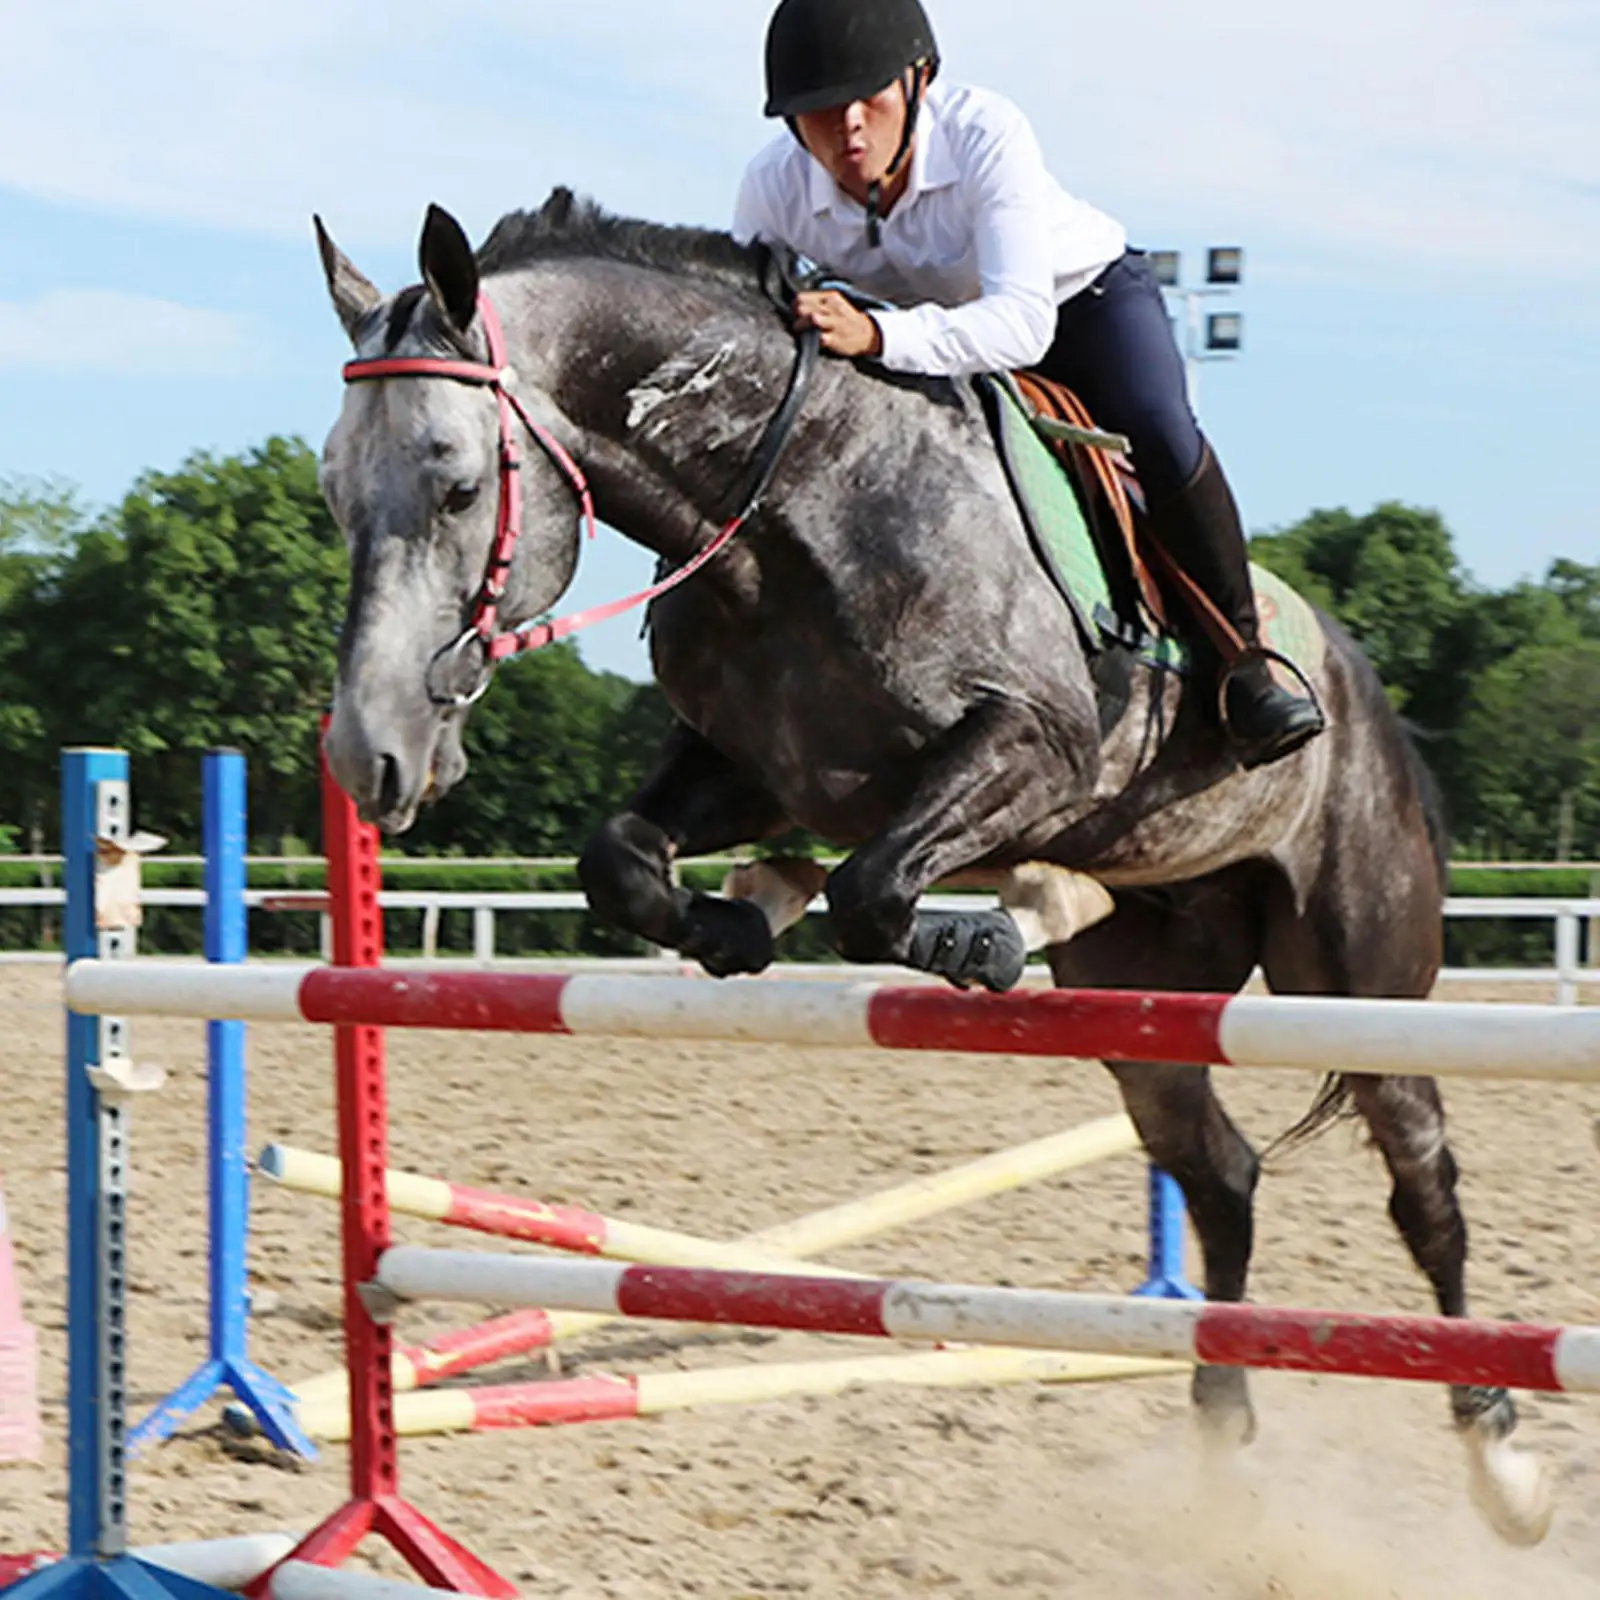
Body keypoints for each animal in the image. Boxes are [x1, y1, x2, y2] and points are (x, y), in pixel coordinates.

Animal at [315, 191, 1551, 1543]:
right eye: (332, 491)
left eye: (456, 486)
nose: (367, 755)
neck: (795, 502)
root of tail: (1351, 670)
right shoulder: (758, 770)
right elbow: (623, 861)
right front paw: (742, 921)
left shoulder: (1037, 747)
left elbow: (871, 891)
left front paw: (973, 934)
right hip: (1139, 990)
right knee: (1218, 1175)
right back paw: (1223, 1450)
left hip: (1359, 969)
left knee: (1421, 1179)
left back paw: (1501, 1463)